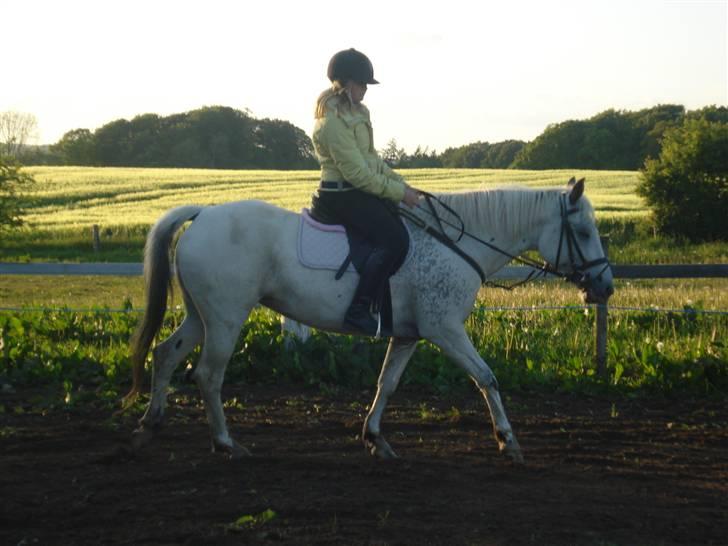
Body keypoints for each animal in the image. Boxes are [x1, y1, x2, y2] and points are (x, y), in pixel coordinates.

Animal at [126, 176, 616, 462]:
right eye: (584, 231)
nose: (605, 286)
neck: (457, 243)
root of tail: (203, 213)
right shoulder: (445, 330)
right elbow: (487, 378)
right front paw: (507, 440)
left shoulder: (410, 335)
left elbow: (387, 383)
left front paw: (375, 437)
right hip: (227, 318)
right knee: (208, 374)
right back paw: (226, 443)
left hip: (202, 316)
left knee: (166, 355)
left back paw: (151, 423)